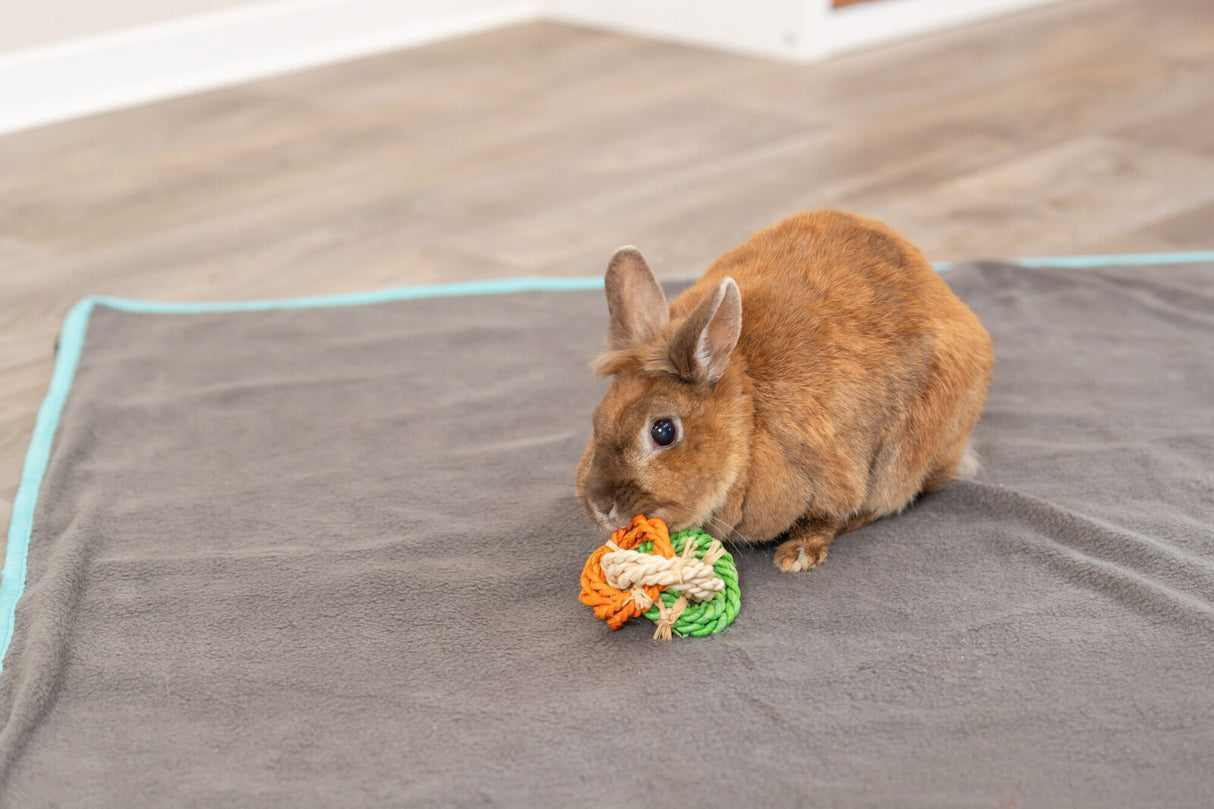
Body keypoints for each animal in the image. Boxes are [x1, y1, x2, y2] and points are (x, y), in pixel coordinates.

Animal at [575, 209, 993, 572]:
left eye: (663, 431)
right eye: (597, 420)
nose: (601, 506)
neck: (749, 422)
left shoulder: (833, 472)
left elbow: (826, 517)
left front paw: (797, 556)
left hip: (905, 456)